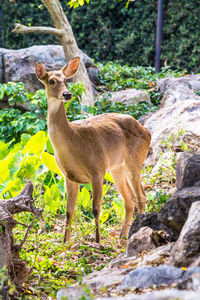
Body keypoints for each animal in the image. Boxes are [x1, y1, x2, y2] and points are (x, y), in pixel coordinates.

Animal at [35, 56, 151, 244]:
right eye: (51, 80)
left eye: (66, 80)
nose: (67, 94)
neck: (73, 142)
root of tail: (147, 131)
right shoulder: (69, 177)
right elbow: (69, 211)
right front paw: (65, 242)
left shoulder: (97, 169)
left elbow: (96, 208)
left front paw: (97, 241)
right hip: (117, 167)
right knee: (129, 200)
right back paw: (122, 237)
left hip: (135, 159)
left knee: (140, 196)